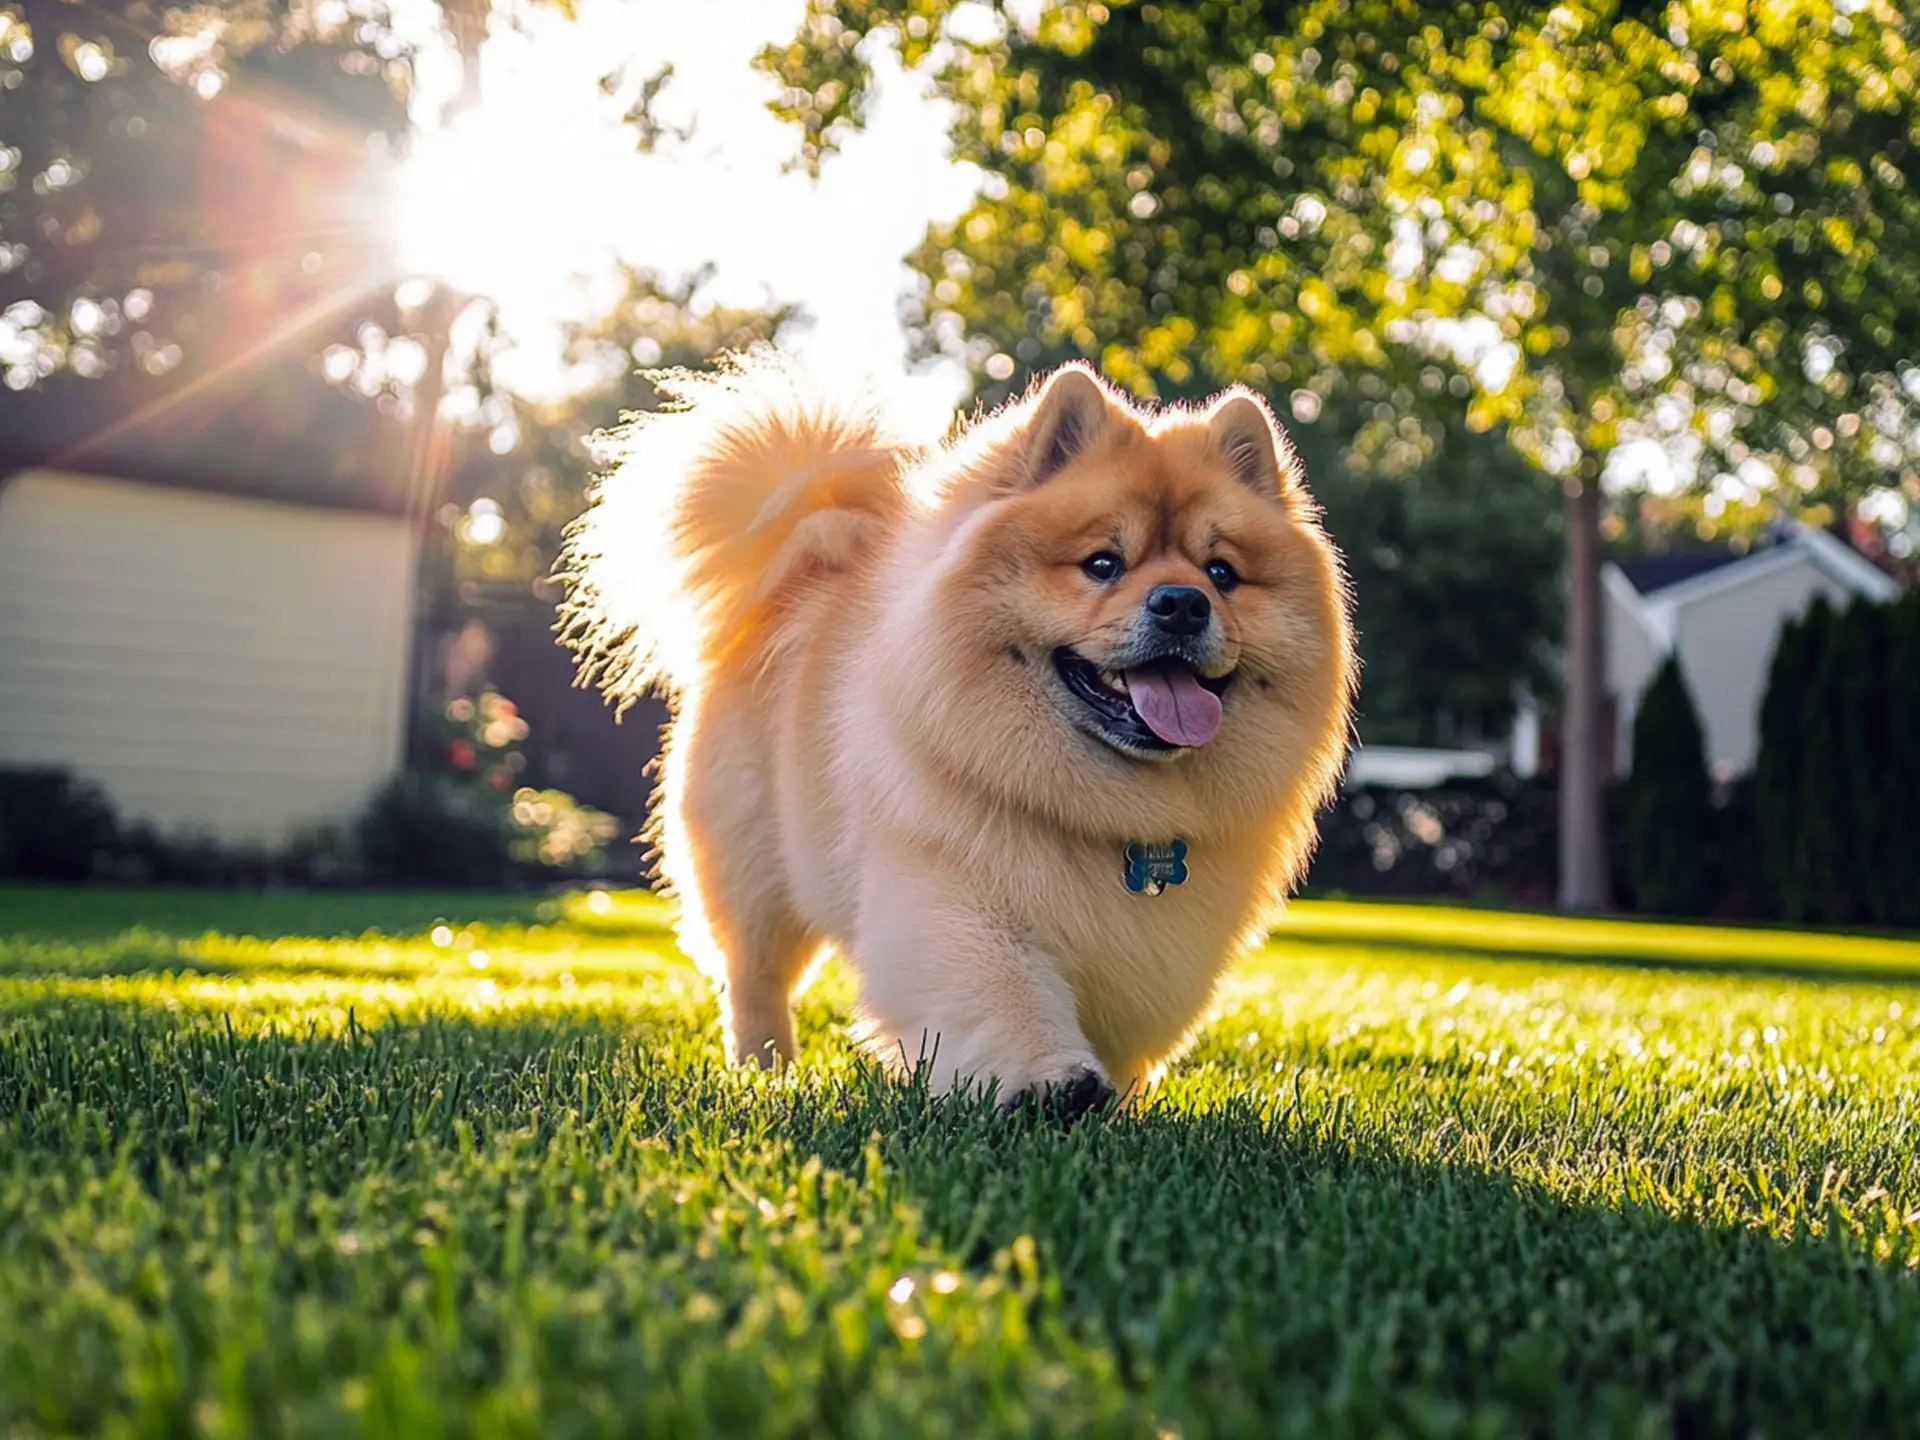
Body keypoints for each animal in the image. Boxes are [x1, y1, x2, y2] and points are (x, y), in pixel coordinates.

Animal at [560, 355, 1359, 1121]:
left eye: (1223, 574)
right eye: (1102, 564)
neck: (1110, 812)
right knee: (753, 980)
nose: (1184, 603)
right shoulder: (955, 895)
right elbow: (1003, 997)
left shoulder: (1161, 952)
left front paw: (1118, 1110)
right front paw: (1050, 1086)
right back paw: (766, 1072)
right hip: (755, 873)